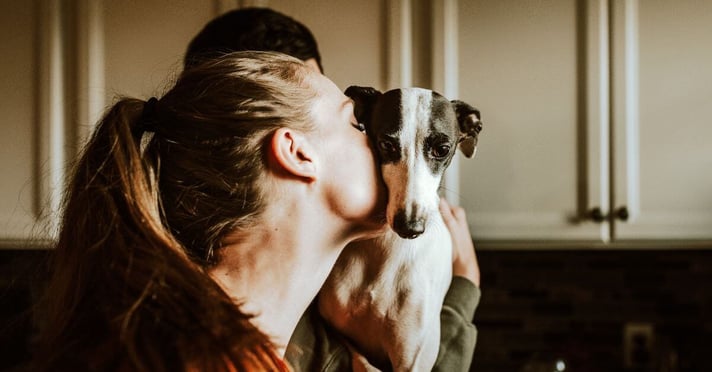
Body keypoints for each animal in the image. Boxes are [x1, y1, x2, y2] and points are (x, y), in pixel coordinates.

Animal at [318, 85, 482, 370]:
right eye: (387, 144)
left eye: (442, 149)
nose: (409, 226)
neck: (385, 252)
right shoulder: (335, 326)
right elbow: (360, 358)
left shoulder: (412, 358)